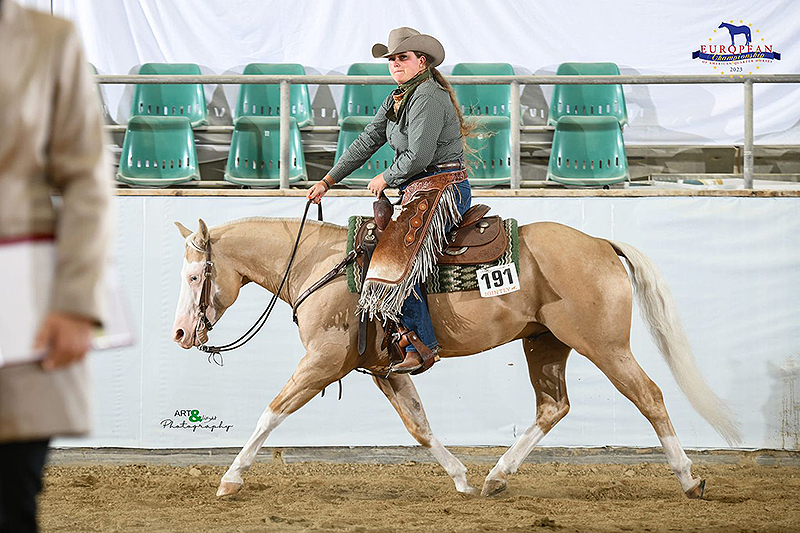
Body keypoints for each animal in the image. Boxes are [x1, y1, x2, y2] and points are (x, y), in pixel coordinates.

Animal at [172, 214, 740, 496]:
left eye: (197, 275)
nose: (179, 333)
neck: (322, 263)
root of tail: (600, 243)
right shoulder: (383, 369)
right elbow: (419, 426)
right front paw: (462, 479)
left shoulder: (324, 361)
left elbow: (271, 412)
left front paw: (230, 479)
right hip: (545, 343)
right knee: (553, 407)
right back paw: (496, 477)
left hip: (605, 345)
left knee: (651, 396)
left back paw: (689, 478)